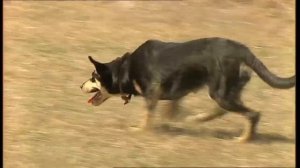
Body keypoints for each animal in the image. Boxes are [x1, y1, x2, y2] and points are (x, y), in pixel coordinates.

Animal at [80, 37, 296, 142]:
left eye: (93, 77)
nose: (80, 85)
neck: (126, 69)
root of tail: (242, 50)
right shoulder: (173, 91)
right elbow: (171, 108)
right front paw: (170, 121)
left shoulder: (152, 93)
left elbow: (147, 115)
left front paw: (140, 130)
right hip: (227, 90)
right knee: (225, 110)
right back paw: (199, 118)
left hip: (220, 92)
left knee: (252, 114)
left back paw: (243, 139)